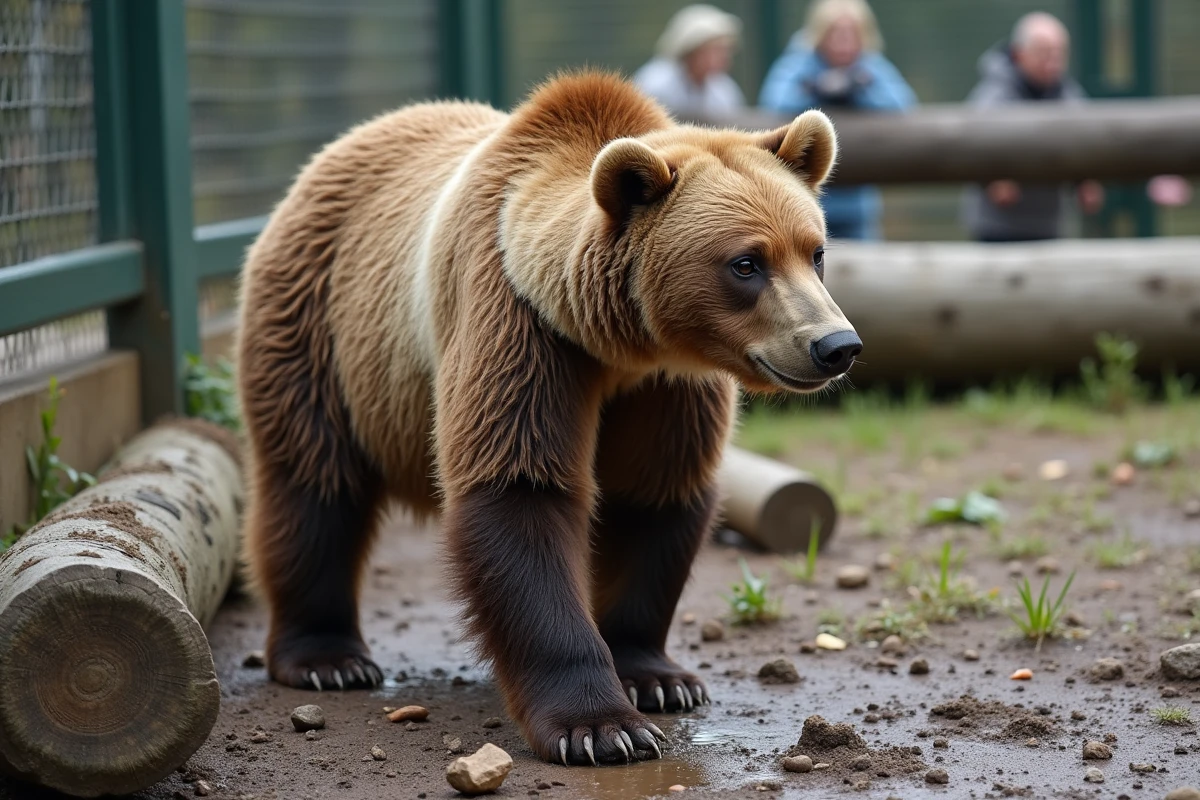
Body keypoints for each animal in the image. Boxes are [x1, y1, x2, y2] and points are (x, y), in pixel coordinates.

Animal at [237, 71, 860, 766]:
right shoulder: (520, 323)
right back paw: (327, 657)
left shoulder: (665, 387)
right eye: (746, 262)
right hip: (320, 325)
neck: (618, 348)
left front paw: (658, 678)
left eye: (815, 252)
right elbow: (519, 490)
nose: (835, 345)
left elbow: (655, 496)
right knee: (314, 482)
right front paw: (602, 726)